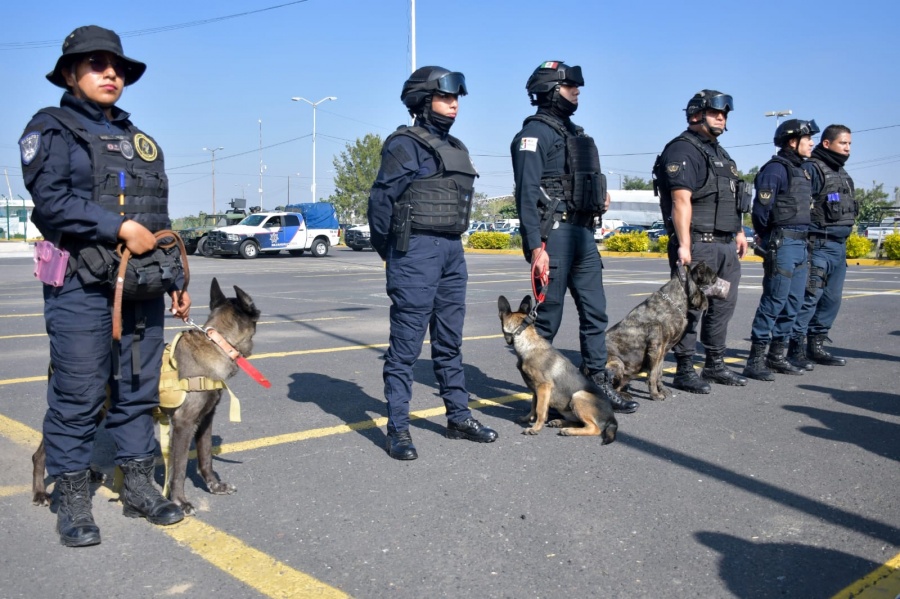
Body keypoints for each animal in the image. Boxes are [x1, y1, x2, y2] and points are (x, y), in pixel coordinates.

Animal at [34, 276, 260, 516]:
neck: (217, 344)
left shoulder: (206, 419)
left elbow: (206, 456)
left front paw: (215, 486)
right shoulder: (183, 424)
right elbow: (179, 468)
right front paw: (180, 501)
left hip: (98, 413)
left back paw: (91, 474)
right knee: (41, 454)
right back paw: (40, 493)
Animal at [500, 296, 620, 446]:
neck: (527, 341)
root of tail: (612, 418)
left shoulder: (543, 387)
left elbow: (540, 409)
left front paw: (535, 428)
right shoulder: (535, 389)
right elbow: (533, 405)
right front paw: (528, 418)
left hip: (578, 396)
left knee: (594, 428)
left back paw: (569, 430)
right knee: (581, 423)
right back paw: (560, 423)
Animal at [604, 260, 724, 400]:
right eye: (714, 278)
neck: (675, 300)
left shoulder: (663, 350)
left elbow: (659, 373)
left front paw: (662, 389)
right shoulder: (656, 349)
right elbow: (653, 374)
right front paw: (655, 394)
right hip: (617, 363)